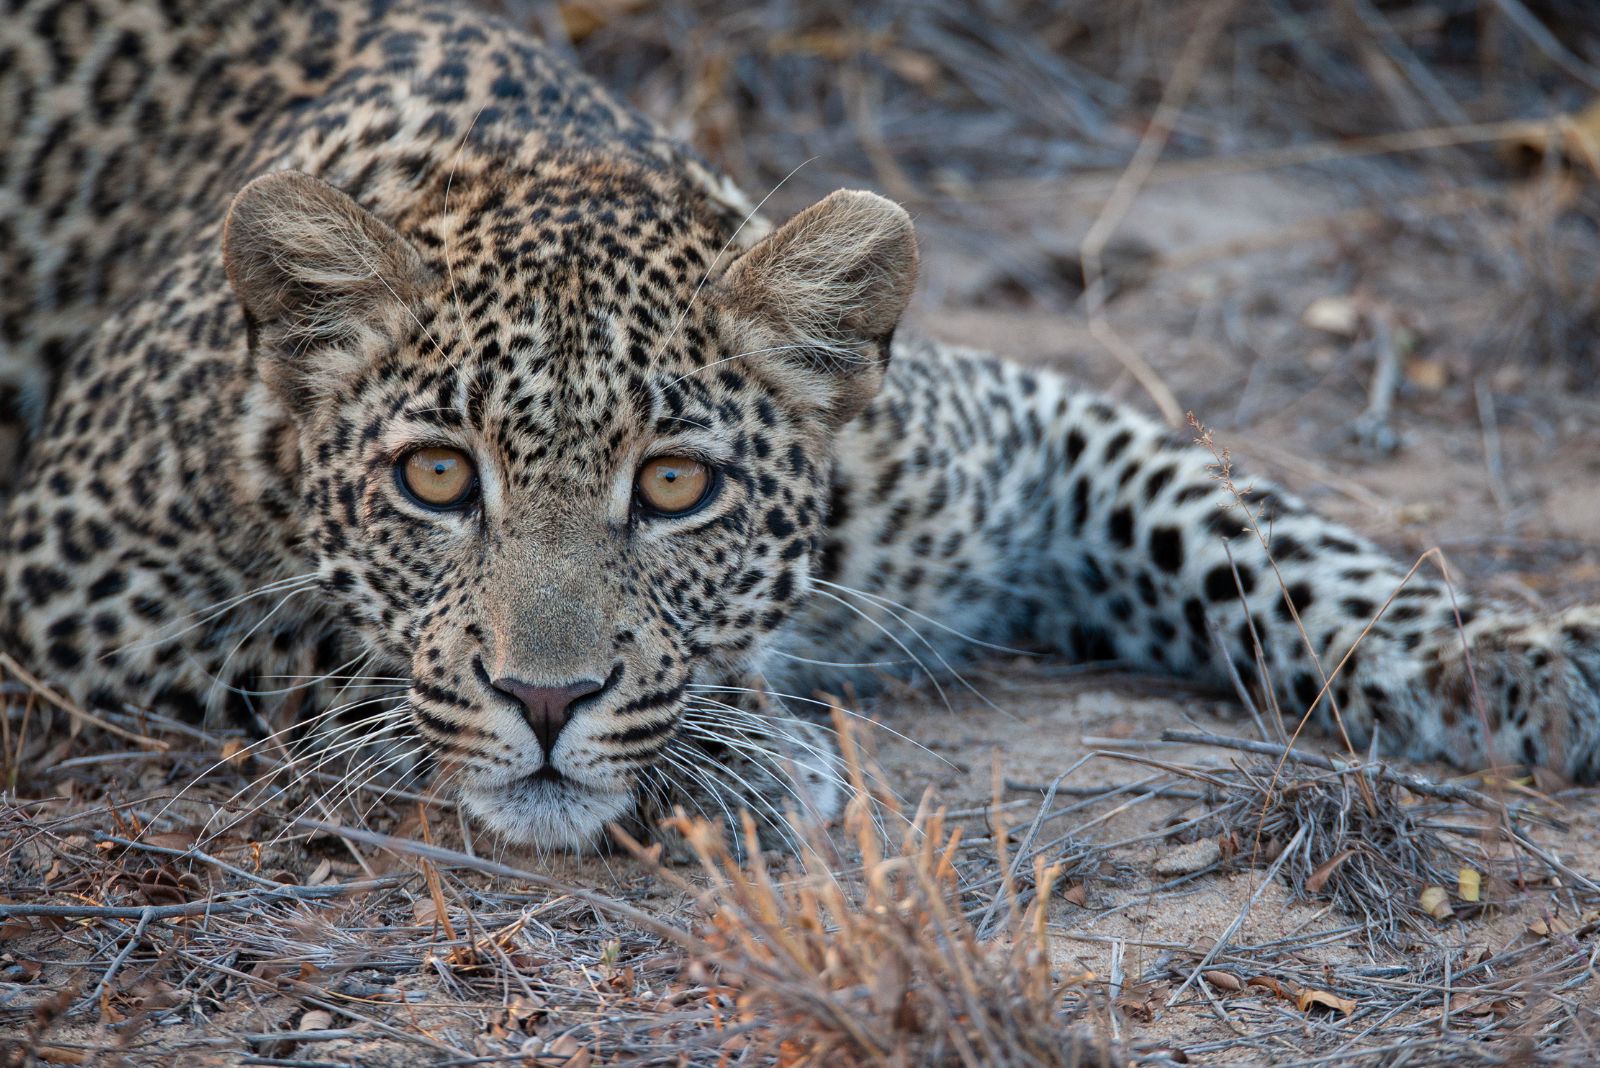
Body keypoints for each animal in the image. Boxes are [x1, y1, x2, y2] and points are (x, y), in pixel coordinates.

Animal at [0, 0, 1593, 850]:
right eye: (438, 478)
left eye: (676, 486)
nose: (547, 706)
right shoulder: (75, 566)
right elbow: (344, 650)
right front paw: (735, 750)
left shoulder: (1017, 430)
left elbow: (1247, 523)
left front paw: (1518, 660)